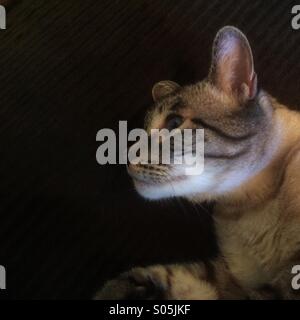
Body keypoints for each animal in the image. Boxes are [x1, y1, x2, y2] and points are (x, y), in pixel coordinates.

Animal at [95, 26, 300, 298]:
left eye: (173, 123)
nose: (126, 161)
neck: (244, 207)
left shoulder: (281, 282)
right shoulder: (232, 279)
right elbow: (174, 275)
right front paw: (118, 290)